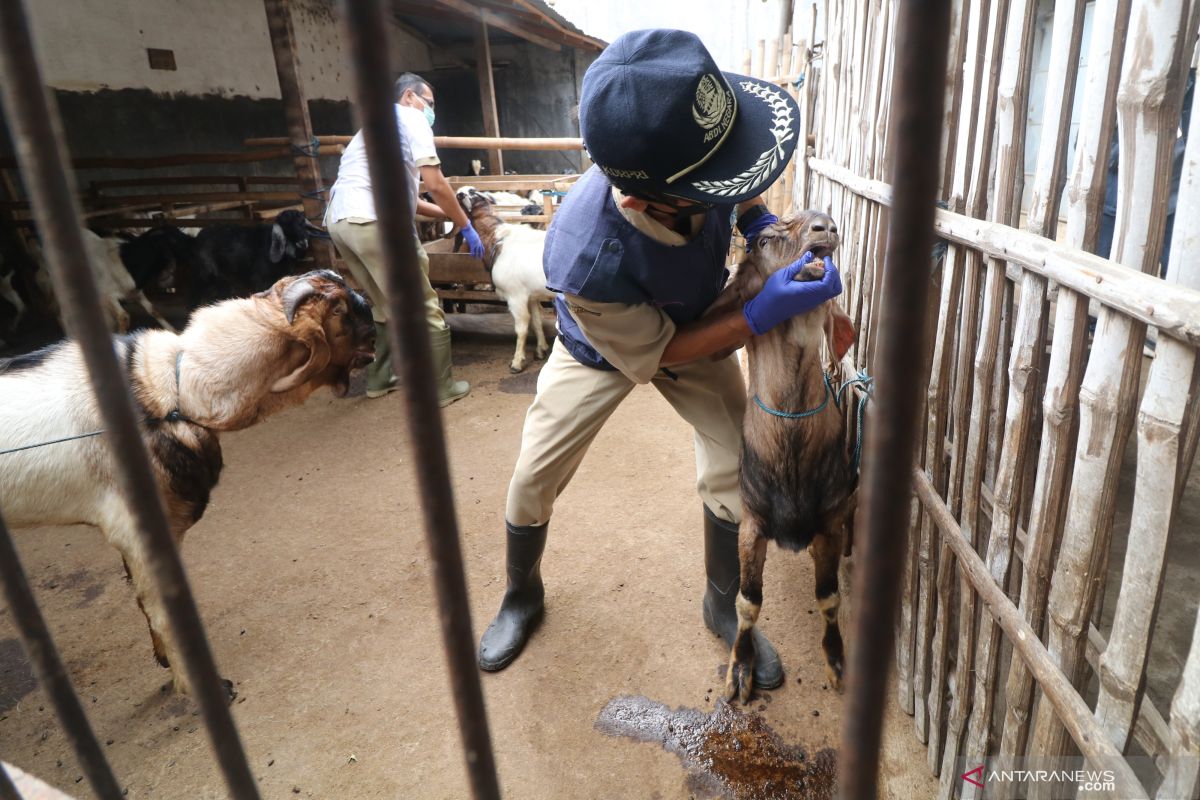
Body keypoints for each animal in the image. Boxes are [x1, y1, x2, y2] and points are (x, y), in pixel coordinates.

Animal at [0, 268, 374, 695]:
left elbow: (145, 604)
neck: (171, 389)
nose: (368, 302)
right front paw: (199, 685)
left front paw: (165, 660)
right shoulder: (141, 532)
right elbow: (164, 611)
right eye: (341, 310)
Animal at [715, 209, 859, 705]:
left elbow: (830, 596)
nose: (826, 225)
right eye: (762, 240)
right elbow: (747, 601)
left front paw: (836, 662)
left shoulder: (832, 520)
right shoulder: (752, 522)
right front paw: (741, 670)